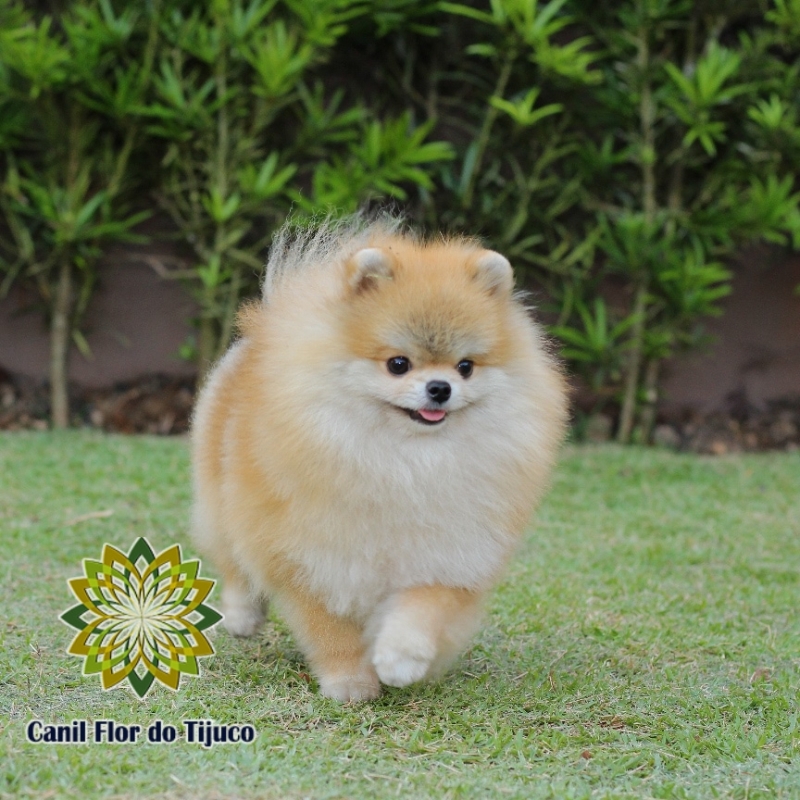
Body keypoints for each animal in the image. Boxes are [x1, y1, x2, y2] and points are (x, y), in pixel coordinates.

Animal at [192, 214, 568, 700]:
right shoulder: (312, 557)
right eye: (398, 364)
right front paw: (351, 682)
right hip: (223, 493)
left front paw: (400, 659)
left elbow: (425, 608)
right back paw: (242, 616)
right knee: (232, 556)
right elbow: (330, 629)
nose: (440, 388)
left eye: (465, 366)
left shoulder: (453, 553)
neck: (404, 461)